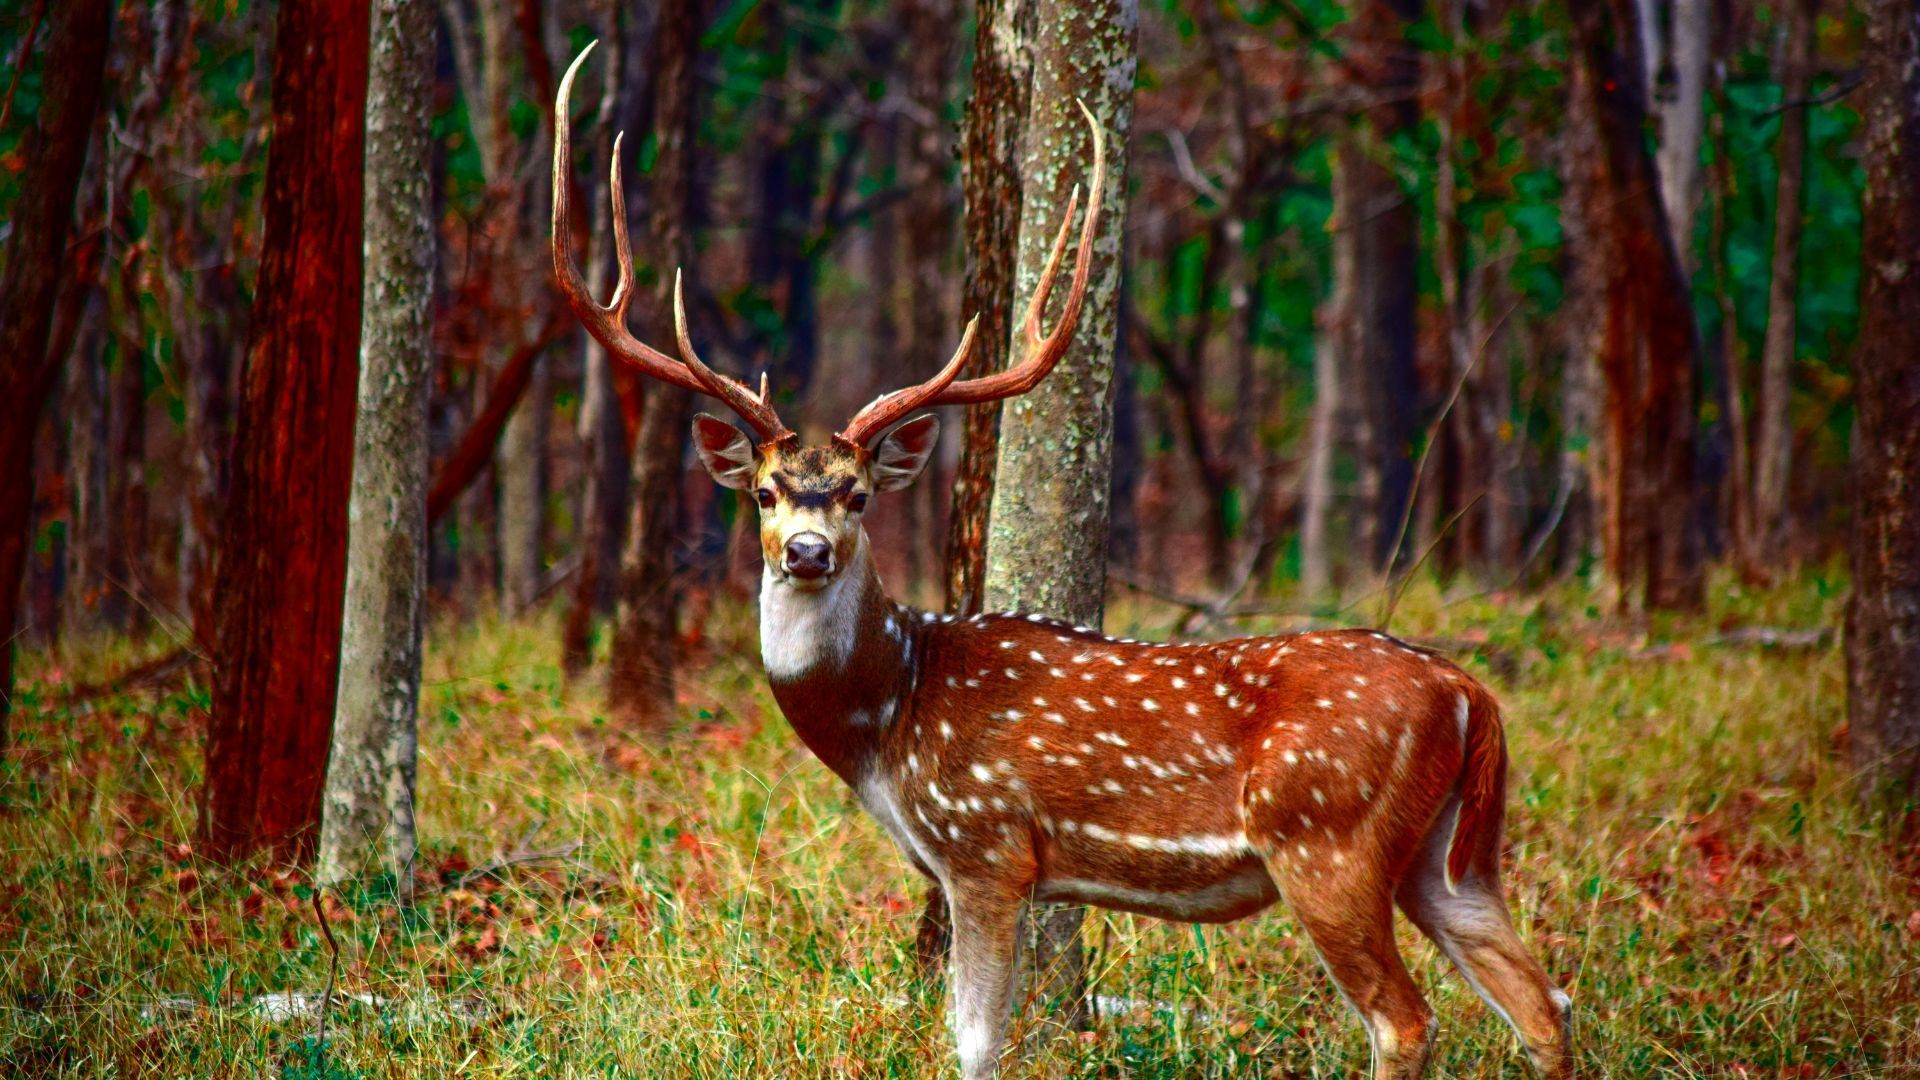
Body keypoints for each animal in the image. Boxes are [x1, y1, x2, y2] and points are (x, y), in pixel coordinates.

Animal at [556, 42, 1574, 1076]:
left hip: (1329, 837)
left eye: (858, 494)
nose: (806, 550)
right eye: (764, 492)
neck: (890, 721)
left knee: (1407, 1018)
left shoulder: (986, 844)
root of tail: (1471, 696)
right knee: (1542, 1001)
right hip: (1449, 854)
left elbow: (974, 1044)